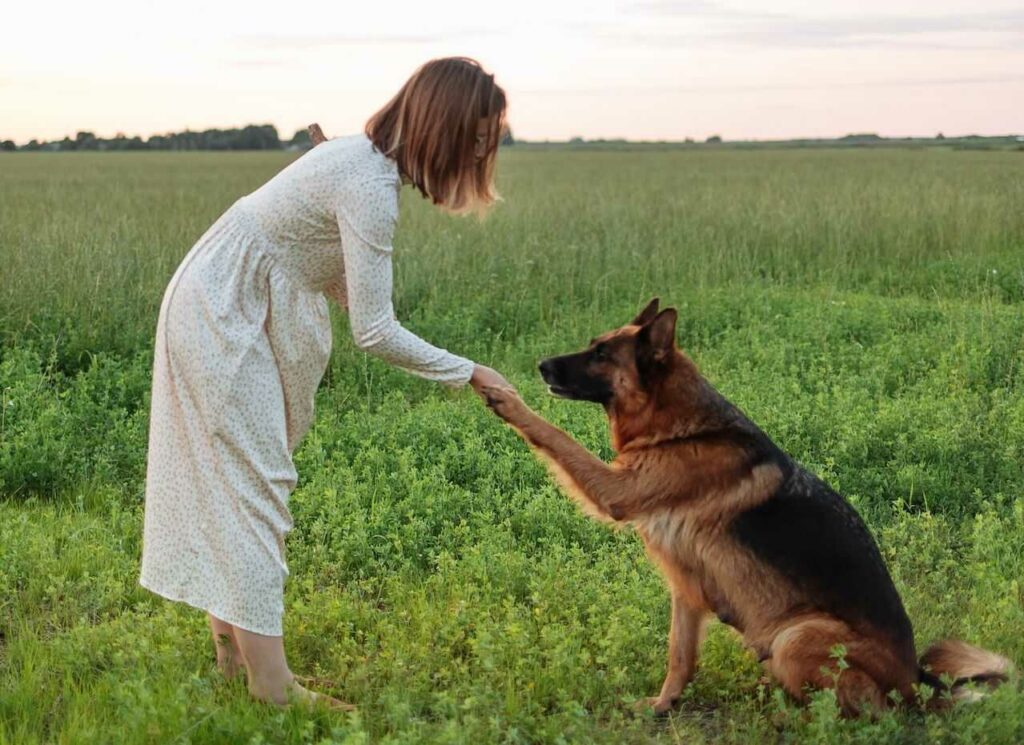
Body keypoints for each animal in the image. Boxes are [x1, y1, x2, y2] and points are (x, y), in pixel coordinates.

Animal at [483, 298, 1011, 720]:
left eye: (600, 354)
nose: (540, 365)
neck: (680, 429)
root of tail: (918, 687)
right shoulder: (686, 589)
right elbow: (679, 657)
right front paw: (662, 705)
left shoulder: (616, 489)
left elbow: (555, 436)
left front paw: (505, 398)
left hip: (796, 636)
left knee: (861, 712)